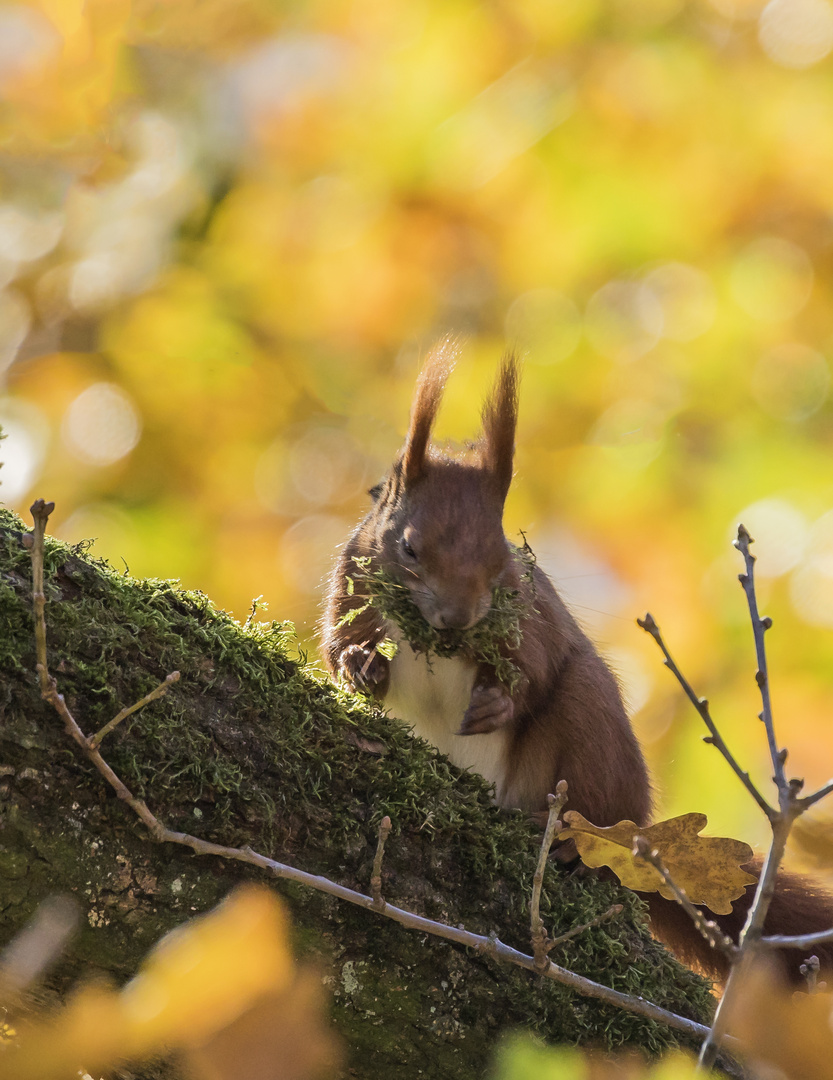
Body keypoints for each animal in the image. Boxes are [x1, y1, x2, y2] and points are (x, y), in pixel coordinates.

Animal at [321, 343, 833, 980]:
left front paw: (499, 701)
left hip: (589, 730)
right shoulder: (349, 583)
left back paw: (572, 844)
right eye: (410, 548)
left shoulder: (533, 612)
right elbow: (333, 644)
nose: (456, 618)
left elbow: (537, 665)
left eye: (501, 553)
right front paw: (360, 665)